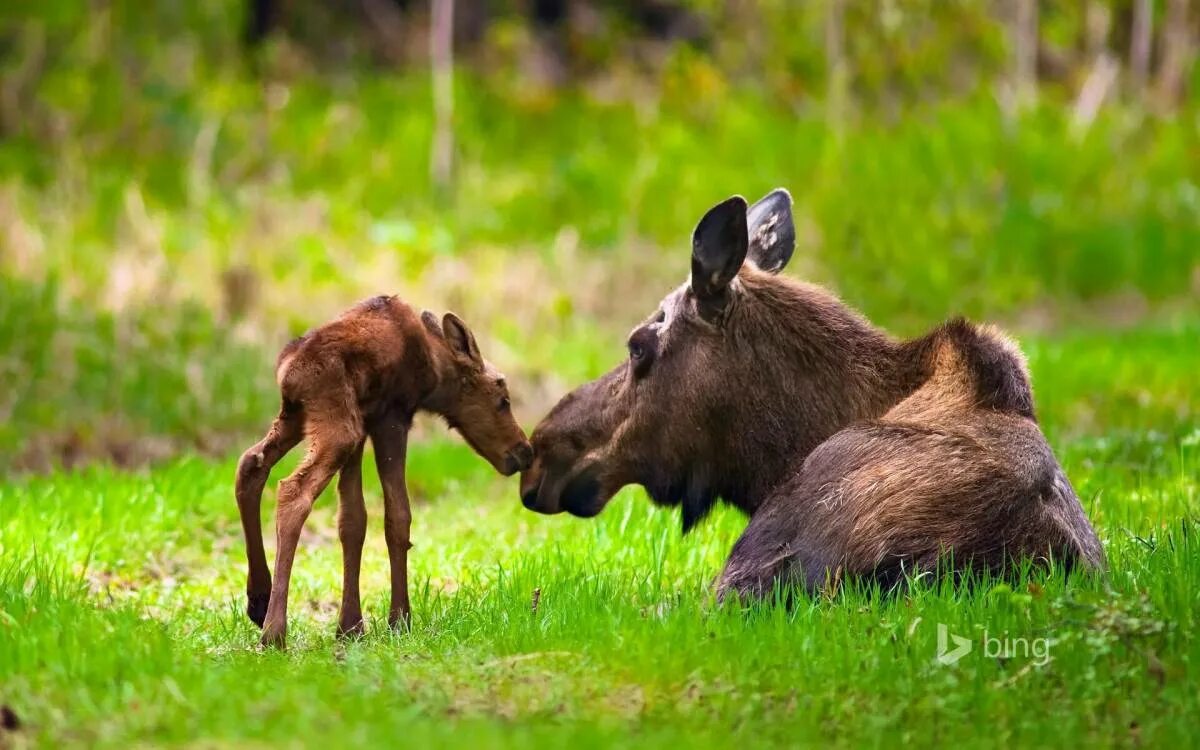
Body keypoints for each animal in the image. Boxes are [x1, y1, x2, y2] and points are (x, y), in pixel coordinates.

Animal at [234, 295, 530, 648]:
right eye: (503, 399)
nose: (524, 451)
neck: (434, 373)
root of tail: (288, 373)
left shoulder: (364, 424)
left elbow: (352, 521)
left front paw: (350, 626)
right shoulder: (392, 417)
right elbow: (398, 517)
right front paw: (399, 619)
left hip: (300, 418)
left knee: (250, 463)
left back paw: (259, 600)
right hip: (338, 428)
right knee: (293, 491)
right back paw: (274, 632)